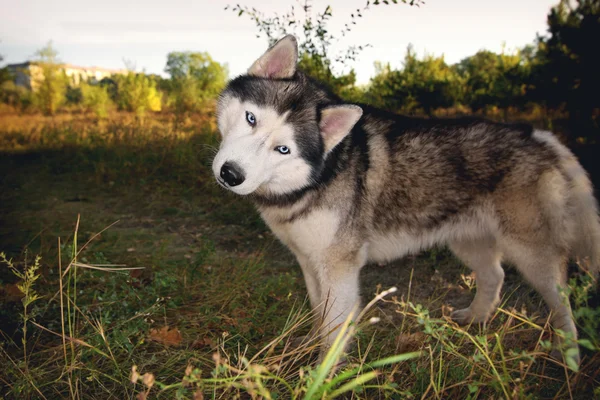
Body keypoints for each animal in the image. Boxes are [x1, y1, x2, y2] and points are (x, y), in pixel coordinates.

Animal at [212, 36, 600, 364]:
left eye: (283, 149)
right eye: (251, 118)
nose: (231, 174)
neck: (319, 177)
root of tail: (539, 135)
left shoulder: (339, 268)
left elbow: (335, 327)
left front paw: (324, 372)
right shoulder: (309, 261)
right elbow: (319, 314)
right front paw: (308, 348)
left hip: (532, 255)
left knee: (563, 302)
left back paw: (569, 357)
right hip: (468, 240)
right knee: (495, 275)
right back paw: (475, 318)